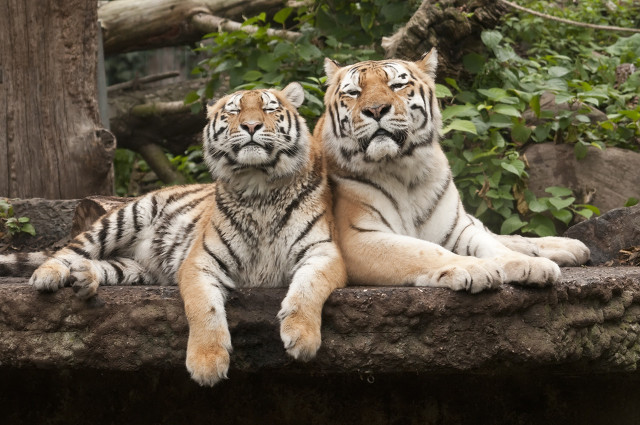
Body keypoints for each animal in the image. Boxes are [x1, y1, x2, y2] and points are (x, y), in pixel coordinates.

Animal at [0, 83, 346, 386]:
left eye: (268, 108)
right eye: (234, 111)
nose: (250, 125)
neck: (259, 185)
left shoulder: (323, 252)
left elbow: (308, 290)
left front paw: (302, 338)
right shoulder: (200, 262)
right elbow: (204, 308)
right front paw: (207, 363)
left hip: (137, 269)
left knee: (105, 264)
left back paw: (83, 277)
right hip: (126, 216)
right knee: (70, 250)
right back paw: (49, 275)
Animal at [315, 49, 589, 293]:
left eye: (396, 85)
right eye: (354, 92)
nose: (375, 109)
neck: (401, 168)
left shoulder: (456, 227)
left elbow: (492, 245)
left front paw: (529, 264)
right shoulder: (356, 238)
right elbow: (426, 250)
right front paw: (477, 268)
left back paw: (571, 247)